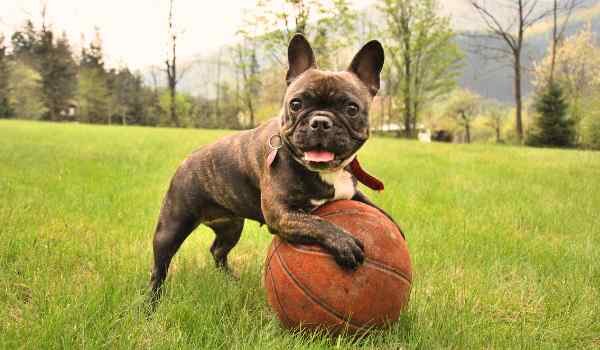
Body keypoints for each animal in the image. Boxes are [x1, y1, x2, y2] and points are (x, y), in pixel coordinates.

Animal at [148, 34, 396, 304]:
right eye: (296, 104)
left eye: (351, 108)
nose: (320, 122)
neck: (327, 170)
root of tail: (187, 160)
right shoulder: (282, 214)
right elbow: (317, 223)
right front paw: (344, 243)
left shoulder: (350, 192)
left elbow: (377, 210)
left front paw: (395, 228)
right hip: (172, 226)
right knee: (160, 267)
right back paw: (152, 303)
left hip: (231, 226)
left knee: (218, 250)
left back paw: (231, 281)